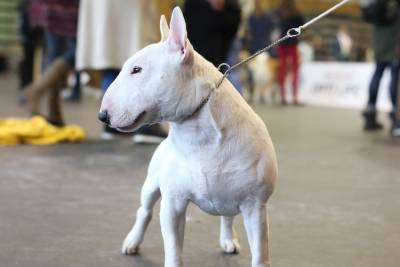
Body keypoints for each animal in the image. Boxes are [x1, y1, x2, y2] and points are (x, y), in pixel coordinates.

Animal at [98, 6, 276, 267]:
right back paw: (132, 241)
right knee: (145, 210)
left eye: (137, 70)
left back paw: (228, 240)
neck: (200, 138)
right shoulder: (173, 203)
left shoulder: (255, 207)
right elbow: (173, 249)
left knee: (227, 217)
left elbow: (261, 254)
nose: (103, 116)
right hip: (151, 184)